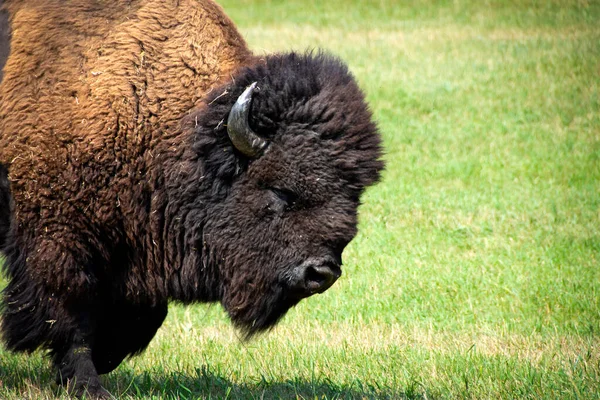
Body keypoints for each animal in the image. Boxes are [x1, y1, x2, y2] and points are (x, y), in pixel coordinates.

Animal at [0, 0, 384, 396]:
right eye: (281, 191)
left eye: (353, 198)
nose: (321, 273)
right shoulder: (57, 236)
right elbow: (70, 311)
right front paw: (89, 385)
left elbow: (145, 315)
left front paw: (106, 356)